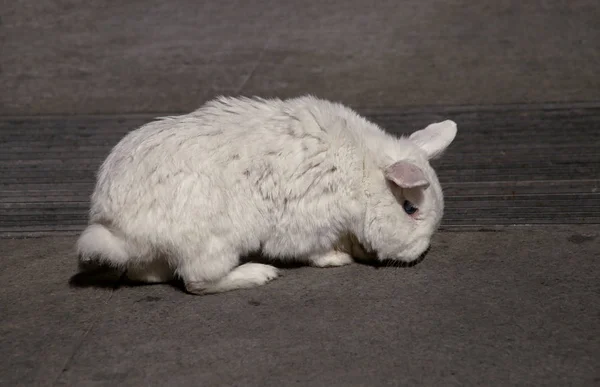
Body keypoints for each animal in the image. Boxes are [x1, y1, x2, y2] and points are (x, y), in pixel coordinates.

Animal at [76, 95, 454, 296]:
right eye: (409, 208)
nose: (418, 255)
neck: (361, 171)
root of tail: (117, 229)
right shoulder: (309, 222)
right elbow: (313, 251)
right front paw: (337, 259)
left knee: (146, 273)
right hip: (215, 241)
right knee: (199, 281)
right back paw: (258, 274)